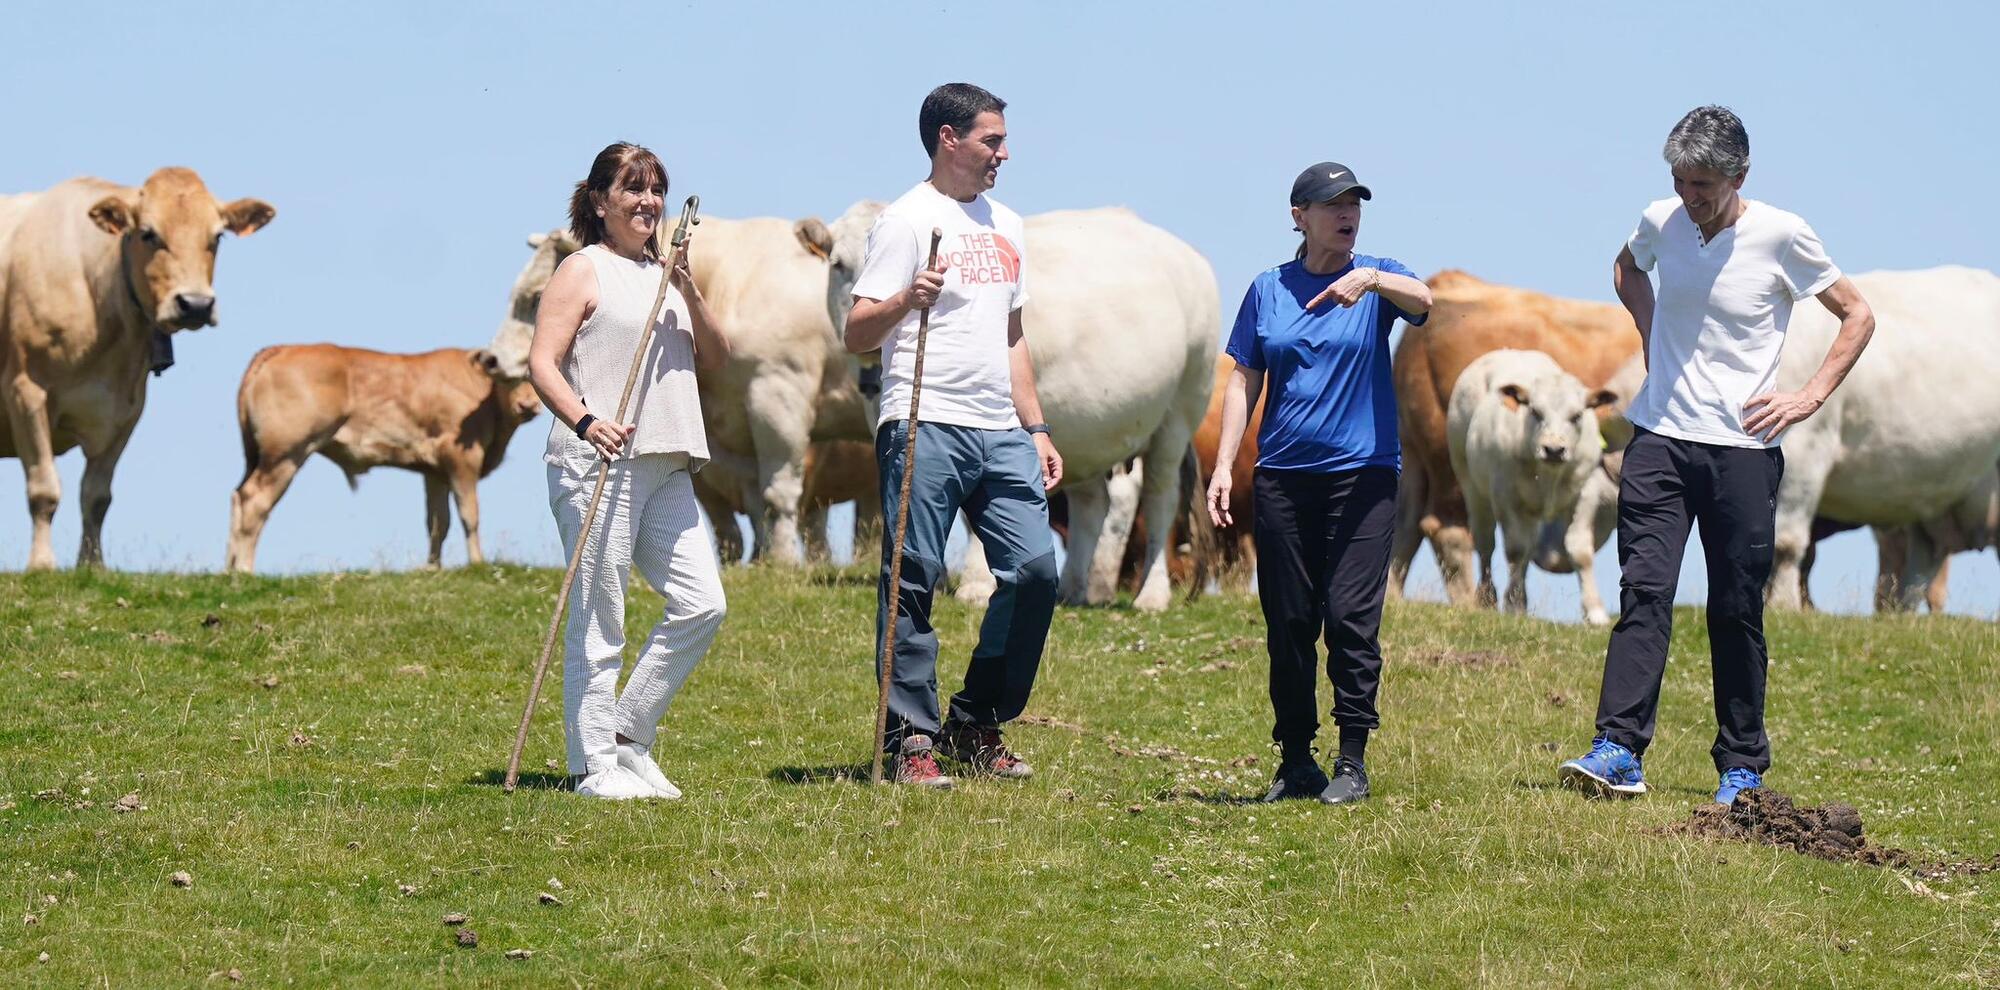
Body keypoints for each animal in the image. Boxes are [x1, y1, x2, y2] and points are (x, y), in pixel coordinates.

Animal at [0, 168, 274, 568]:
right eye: (148, 233)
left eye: (217, 236)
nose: (195, 304)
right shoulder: (25, 391)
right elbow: (44, 488)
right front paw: (41, 564)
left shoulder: (125, 410)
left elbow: (96, 496)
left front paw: (92, 565)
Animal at [225, 344, 540, 572]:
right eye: (504, 378)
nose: (528, 405)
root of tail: (280, 348)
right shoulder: (461, 459)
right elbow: (469, 515)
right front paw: (477, 563)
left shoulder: (434, 471)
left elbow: (438, 522)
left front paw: (433, 568)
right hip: (285, 453)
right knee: (254, 500)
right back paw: (244, 569)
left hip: (258, 457)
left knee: (238, 495)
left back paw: (229, 569)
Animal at [824, 202, 1224, 612]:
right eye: (839, 263)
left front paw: (976, 585)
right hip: (1090, 426)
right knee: (1092, 502)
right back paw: (1073, 588)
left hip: (1179, 412)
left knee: (1160, 497)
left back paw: (1151, 594)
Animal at [1448, 352, 1616, 624]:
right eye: (1536, 412)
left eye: (1576, 416)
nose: (1554, 449)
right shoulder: (1506, 498)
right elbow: (1515, 550)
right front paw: (1513, 605)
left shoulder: (1585, 495)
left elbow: (1580, 551)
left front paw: (1595, 612)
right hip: (1472, 486)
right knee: (1486, 543)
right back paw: (1488, 597)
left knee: (1528, 547)